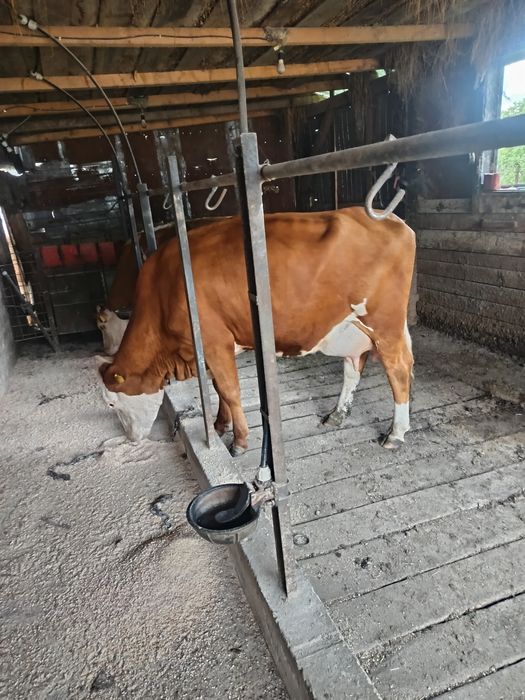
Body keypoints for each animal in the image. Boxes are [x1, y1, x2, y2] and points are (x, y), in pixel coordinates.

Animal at [96, 208, 415, 451]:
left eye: (112, 404)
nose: (132, 439)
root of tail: (393, 219)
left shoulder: (215, 342)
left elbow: (230, 390)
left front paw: (239, 441)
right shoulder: (212, 349)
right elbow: (218, 388)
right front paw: (219, 424)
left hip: (384, 323)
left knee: (398, 369)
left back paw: (395, 434)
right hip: (351, 328)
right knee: (353, 367)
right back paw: (337, 415)